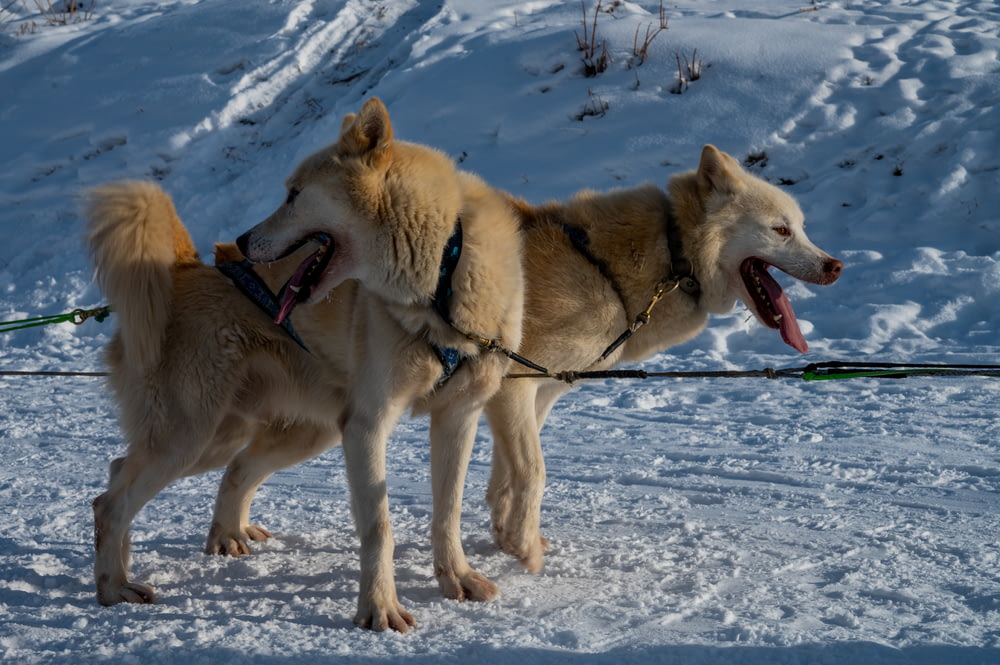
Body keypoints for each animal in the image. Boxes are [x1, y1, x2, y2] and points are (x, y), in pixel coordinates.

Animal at [86, 96, 524, 632]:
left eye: (295, 194)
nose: (243, 239)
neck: (443, 275)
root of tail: (185, 268)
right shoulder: (367, 425)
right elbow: (380, 527)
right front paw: (379, 607)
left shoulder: (457, 418)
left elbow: (448, 513)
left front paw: (456, 579)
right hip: (191, 437)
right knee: (111, 501)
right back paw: (114, 586)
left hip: (266, 435)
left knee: (194, 469)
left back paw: (217, 537)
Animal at [207, 144, 840, 576]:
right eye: (781, 229)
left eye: (803, 228)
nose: (834, 264)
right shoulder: (513, 389)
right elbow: (533, 472)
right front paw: (525, 548)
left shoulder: (527, 393)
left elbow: (509, 475)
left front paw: (506, 533)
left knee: (242, 467)